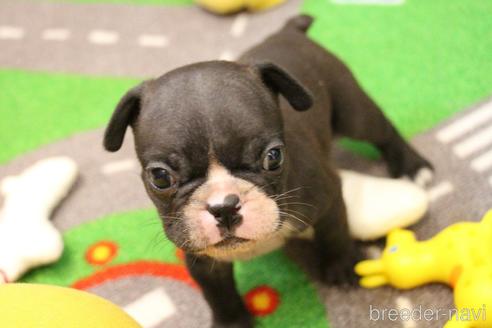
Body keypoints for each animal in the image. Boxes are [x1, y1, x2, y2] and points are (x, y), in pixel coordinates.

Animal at [103, 15, 430, 328]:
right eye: (160, 177)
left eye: (273, 158)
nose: (224, 206)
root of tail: (288, 30)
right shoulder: (200, 255)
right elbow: (218, 294)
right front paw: (231, 322)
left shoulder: (327, 198)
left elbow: (334, 233)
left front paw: (341, 267)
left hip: (351, 111)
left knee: (382, 130)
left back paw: (413, 167)